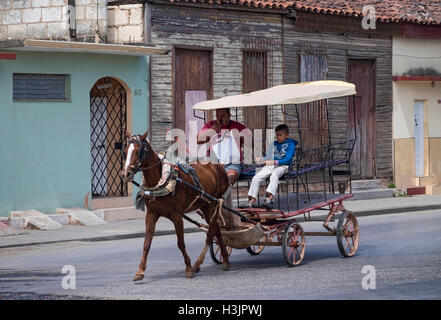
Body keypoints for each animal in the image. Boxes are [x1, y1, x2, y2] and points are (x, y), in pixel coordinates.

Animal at [120, 130, 230, 280]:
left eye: (139, 150)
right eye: (125, 151)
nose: (126, 173)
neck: (160, 181)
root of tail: (218, 166)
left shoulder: (177, 216)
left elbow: (180, 243)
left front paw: (188, 267)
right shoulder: (152, 214)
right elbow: (146, 243)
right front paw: (140, 271)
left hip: (214, 202)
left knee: (211, 231)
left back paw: (197, 264)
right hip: (205, 205)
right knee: (216, 229)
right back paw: (225, 260)